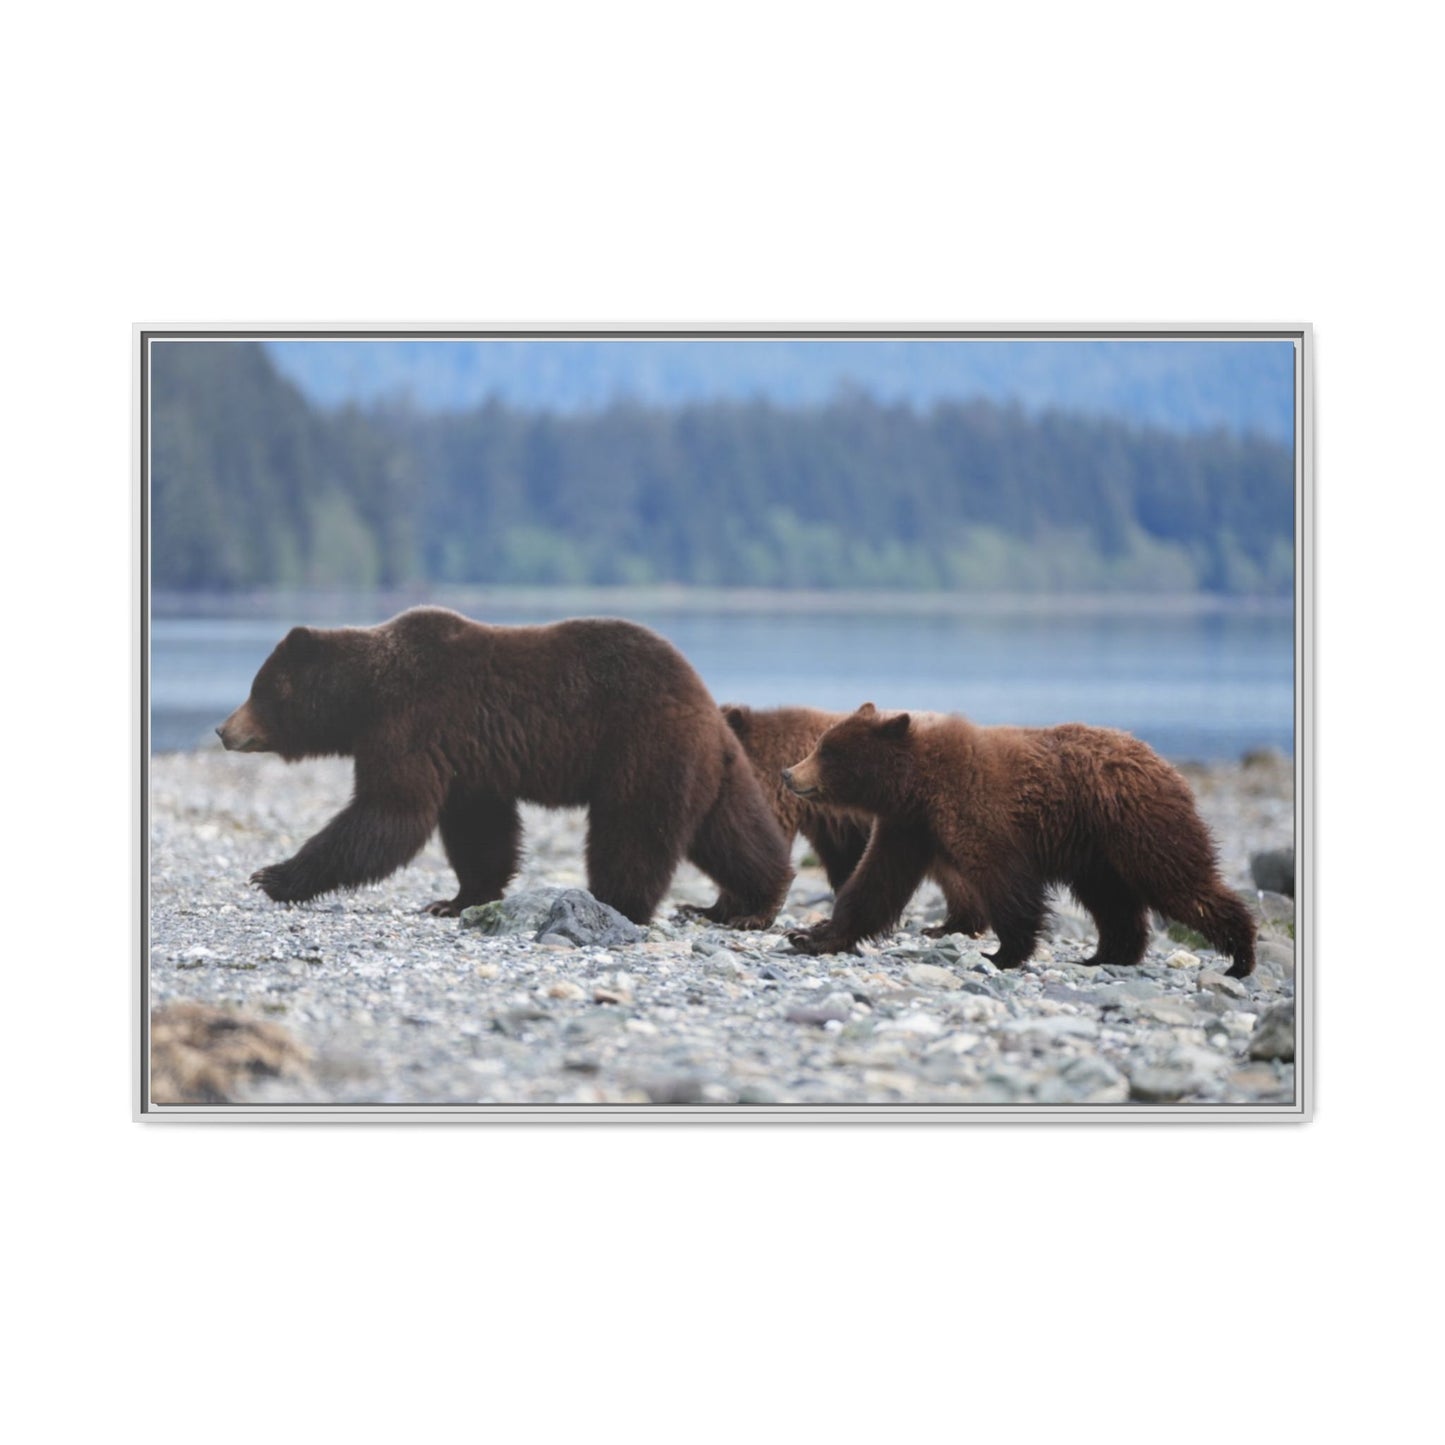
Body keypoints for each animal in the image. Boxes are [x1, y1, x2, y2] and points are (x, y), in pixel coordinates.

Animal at [216, 607, 793, 928]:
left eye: (258, 689)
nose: (223, 729)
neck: (366, 696)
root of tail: (705, 703)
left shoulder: (412, 724)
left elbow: (389, 813)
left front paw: (273, 875)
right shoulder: (468, 759)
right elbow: (479, 831)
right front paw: (455, 900)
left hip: (643, 748)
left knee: (632, 833)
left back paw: (615, 903)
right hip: (712, 768)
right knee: (733, 833)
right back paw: (749, 904)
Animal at [782, 703, 1256, 977]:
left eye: (827, 751)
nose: (789, 773)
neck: (919, 784)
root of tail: (1164, 763)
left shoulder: (978, 810)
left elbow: (1004, 881)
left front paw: (1001, 954)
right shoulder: (908, 826)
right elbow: (874, 883)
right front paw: (810, 935)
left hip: (1138, 825)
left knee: (1179, 882)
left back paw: (1240, 956)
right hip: (1097, 853)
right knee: (1113, 902)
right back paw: (1105, 955)